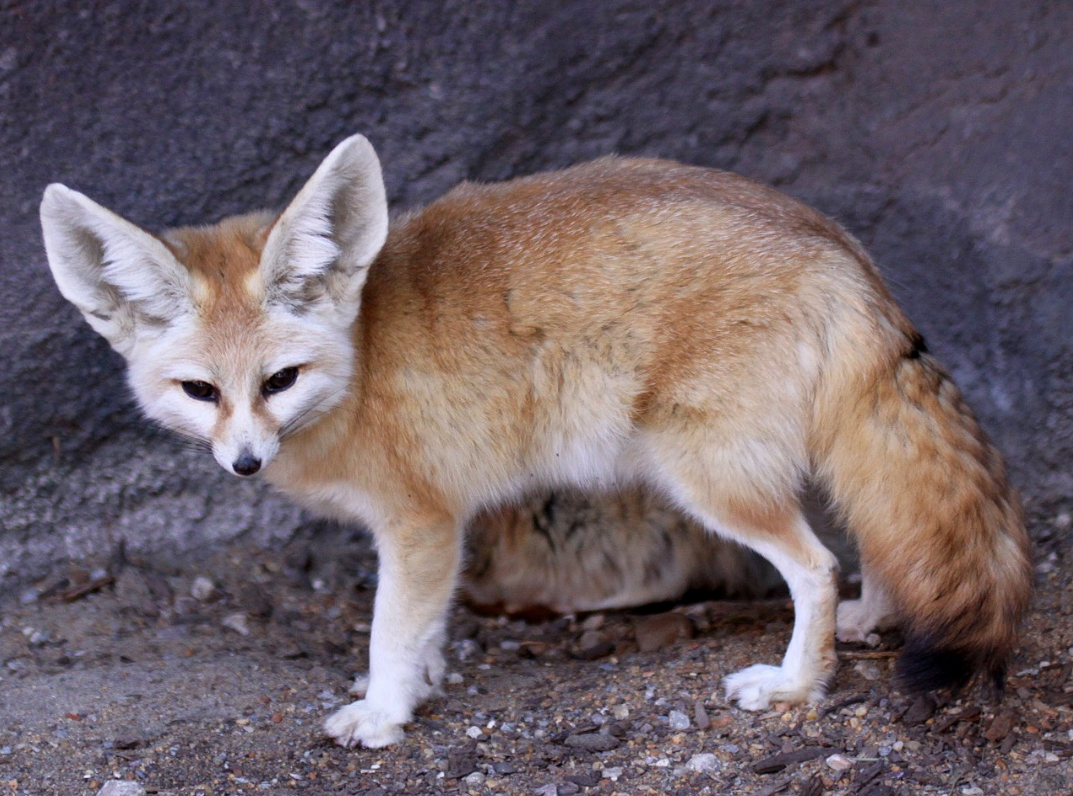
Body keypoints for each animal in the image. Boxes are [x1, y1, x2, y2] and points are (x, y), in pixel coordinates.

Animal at [39, 134, 1030, 750]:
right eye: (201, 392)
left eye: (278, 382)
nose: (245, 462)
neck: (360, 363)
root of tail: (833, 245)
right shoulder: (437, 530)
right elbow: (426, 627)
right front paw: (425, 682)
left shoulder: (422, 522)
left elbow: (388, 631)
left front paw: (384, 712)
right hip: (793, 457)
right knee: (870, 532)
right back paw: (874, 614)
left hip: (708, 479)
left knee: (815, 566)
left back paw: (795, 685)